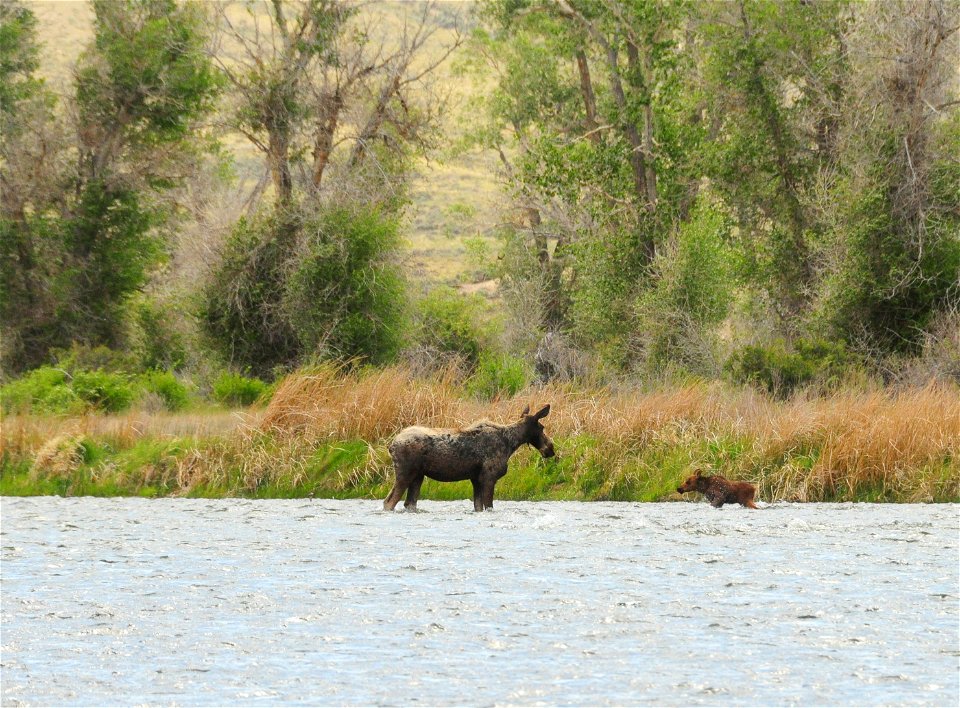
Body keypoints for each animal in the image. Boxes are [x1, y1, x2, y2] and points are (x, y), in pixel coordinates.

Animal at [382, 404, 556, 516]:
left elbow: (478, 506)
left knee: (408, 503)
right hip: (405, 474)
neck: (511, 443)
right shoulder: (488, 477)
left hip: (418, 476)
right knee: (389, 502)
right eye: (542, 428)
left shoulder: (476, 479)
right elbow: (489, 506)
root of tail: (391, 446)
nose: (551, 449)